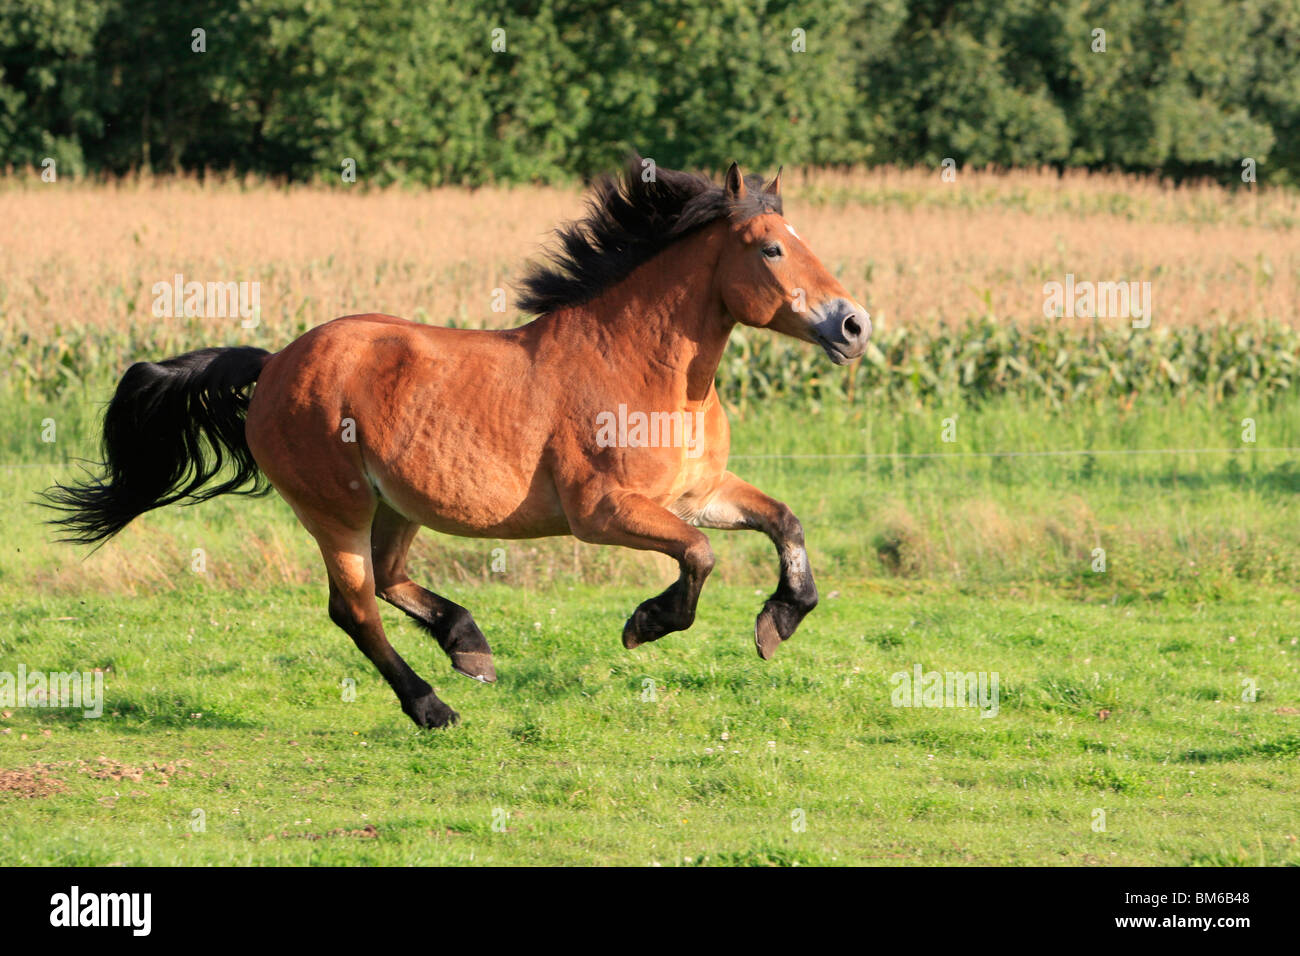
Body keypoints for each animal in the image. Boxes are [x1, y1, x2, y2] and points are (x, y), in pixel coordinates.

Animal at [43, 157, 873, 728]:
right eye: (770, 250)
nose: (855, 324)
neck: (653, 375)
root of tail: (275, 362)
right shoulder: (603, 512)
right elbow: (699, 559)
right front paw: (645, 624)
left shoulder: (696, 494)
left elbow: (785, 523)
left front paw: (778, 622)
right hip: (336, 509)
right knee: (355, 608)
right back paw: (433, 705)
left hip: (397, 505)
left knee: (387, 580)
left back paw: (468, 645)